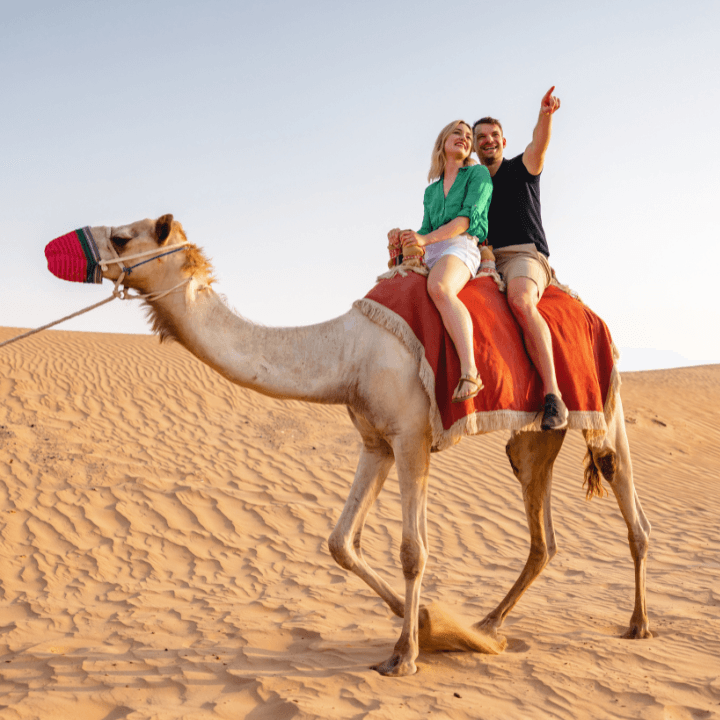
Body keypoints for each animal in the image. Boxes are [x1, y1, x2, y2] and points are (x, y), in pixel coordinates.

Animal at [88, 214, 651, 677]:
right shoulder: (376, 441)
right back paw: (488, 626)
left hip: (606, 401)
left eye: (123, 237)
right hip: (534, 439)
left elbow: (412, 551)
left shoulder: (411, 437)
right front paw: (425, 622)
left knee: (628, 502)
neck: (347, 353)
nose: (86, 248)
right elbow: (340, 542)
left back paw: (638, 624)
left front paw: (406, 653)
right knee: (543, 537)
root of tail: (591, 313)